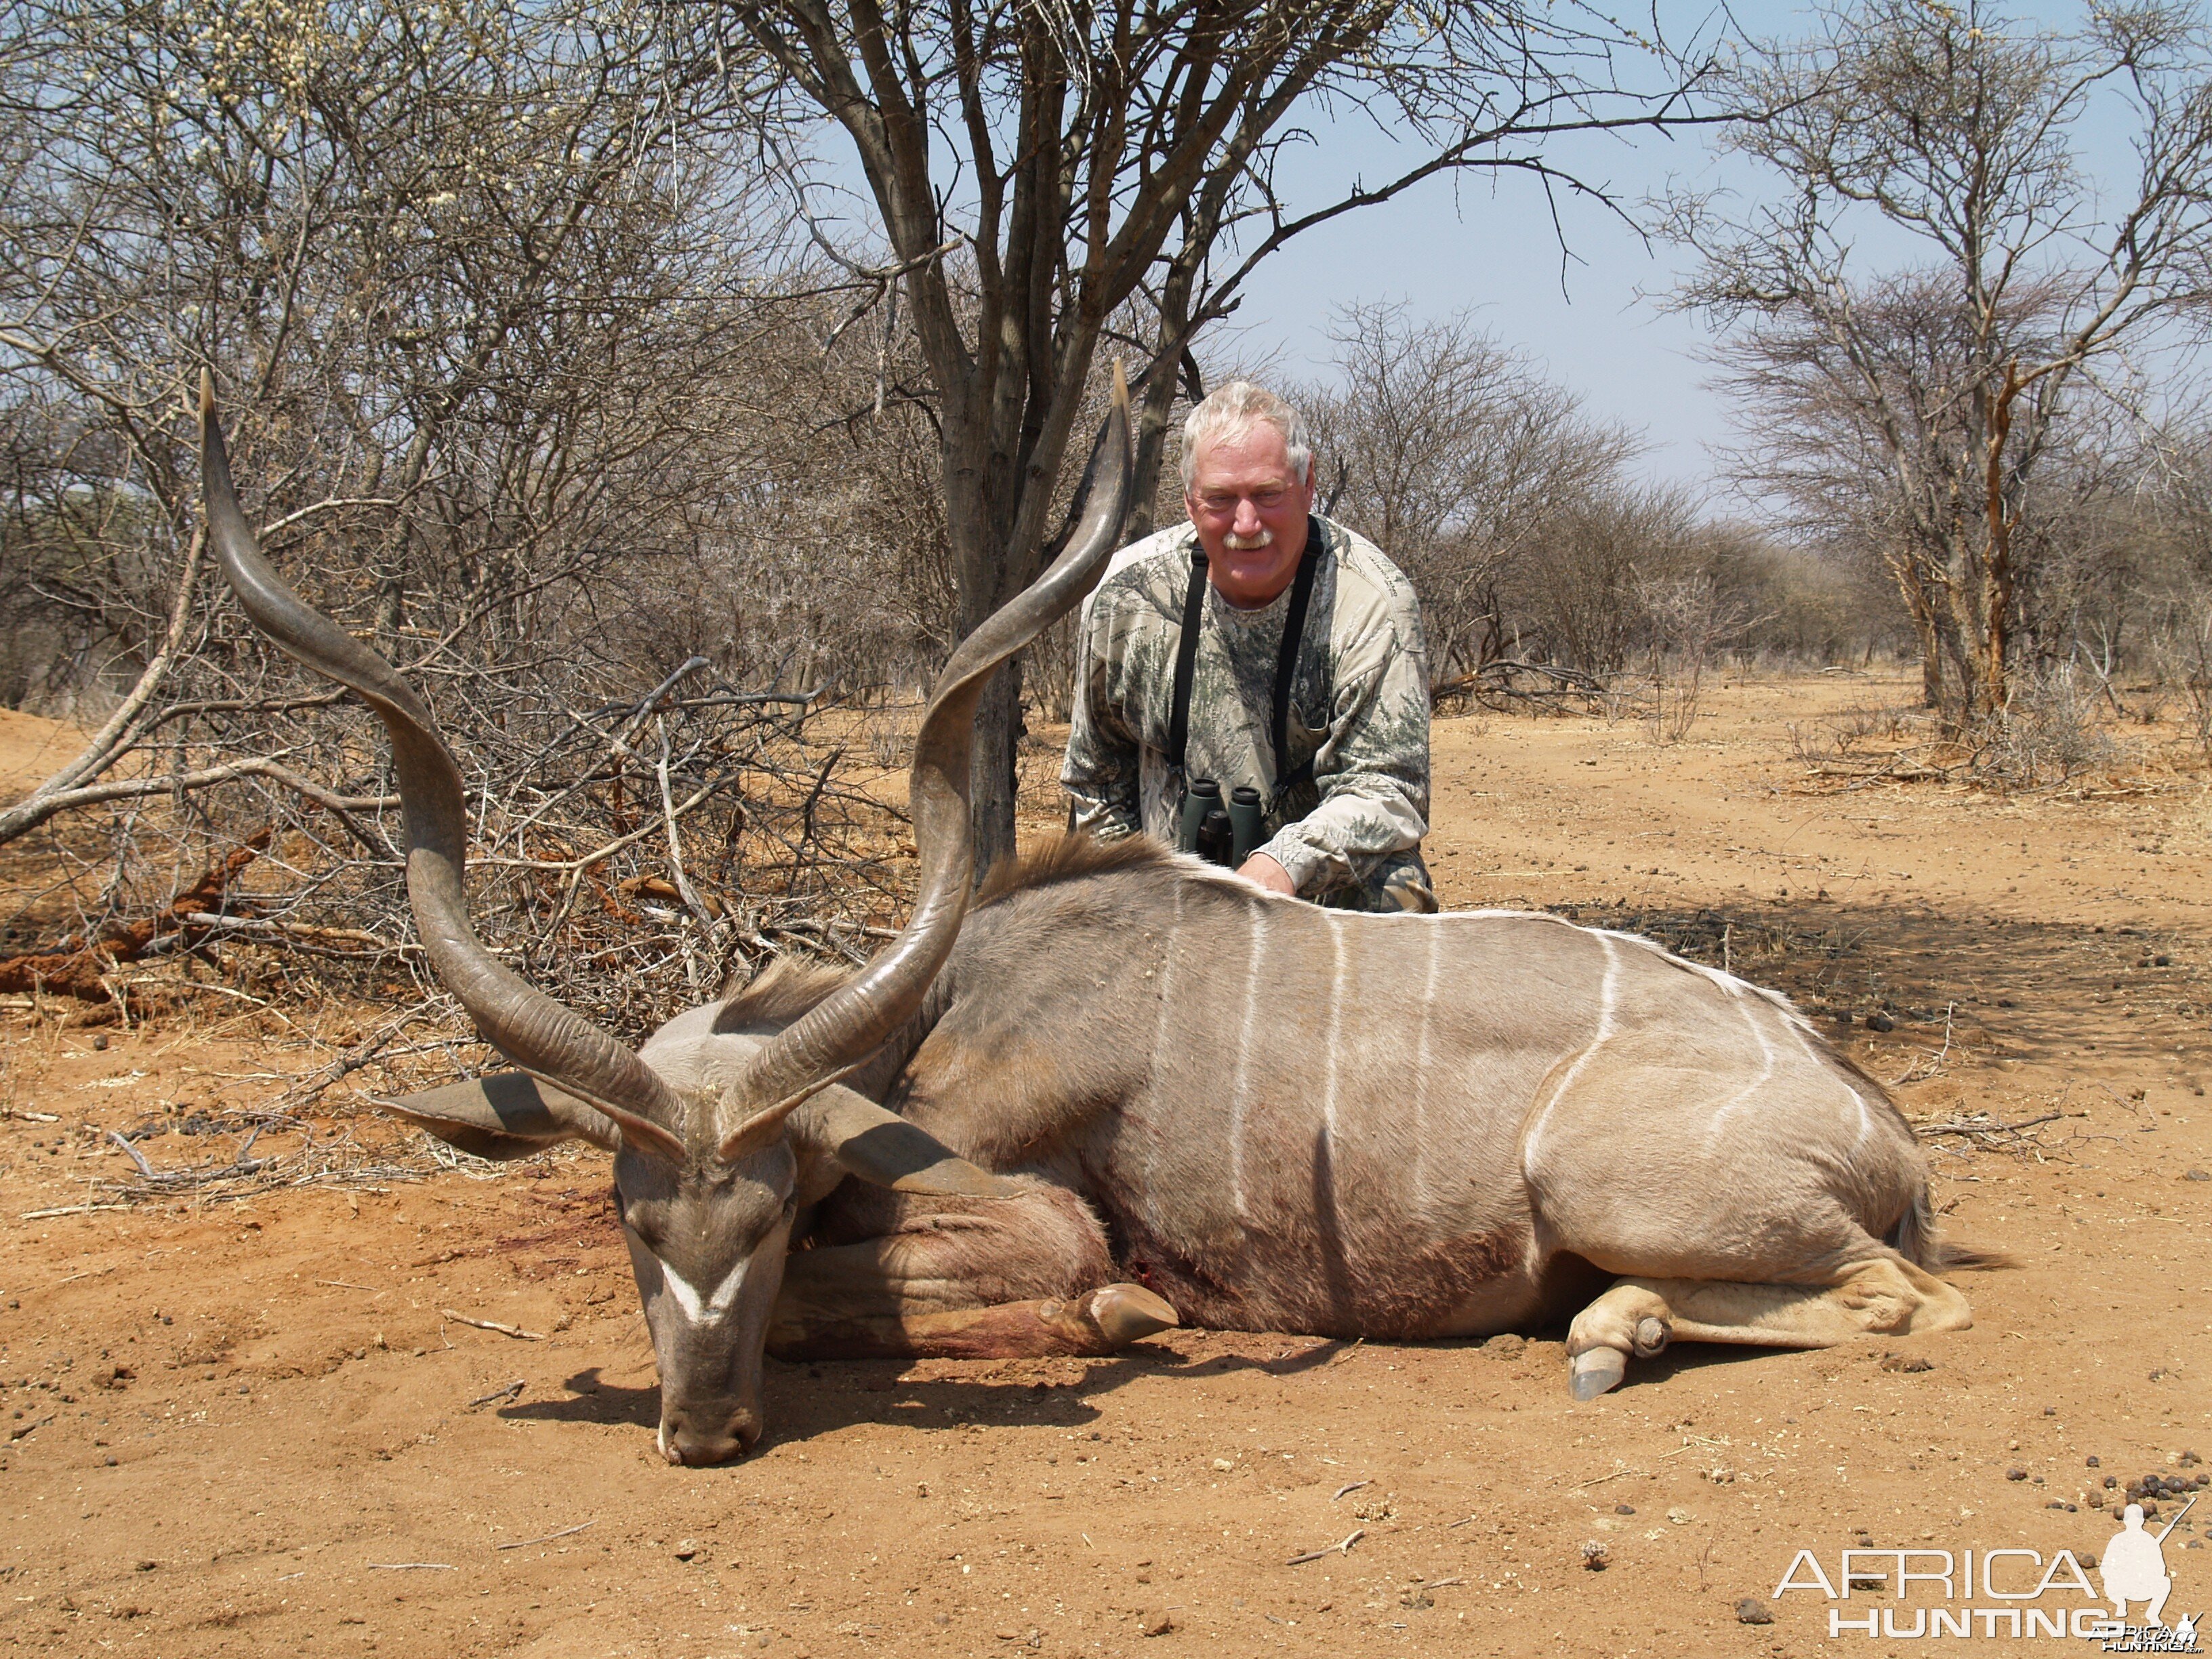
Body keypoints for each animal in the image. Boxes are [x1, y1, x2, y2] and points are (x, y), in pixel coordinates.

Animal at [199, 367, 1982, 1469]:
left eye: (763, 1220)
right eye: (639, 1225)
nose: (702, 1429)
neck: (942, 1013)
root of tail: (1878, 1120)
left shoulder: (1018, 1197)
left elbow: (1052, 1266)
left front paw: (1121, 1304)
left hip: (1609, 1179)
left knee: (1915, 1303)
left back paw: (1612, 1334)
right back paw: (1613, 1327)